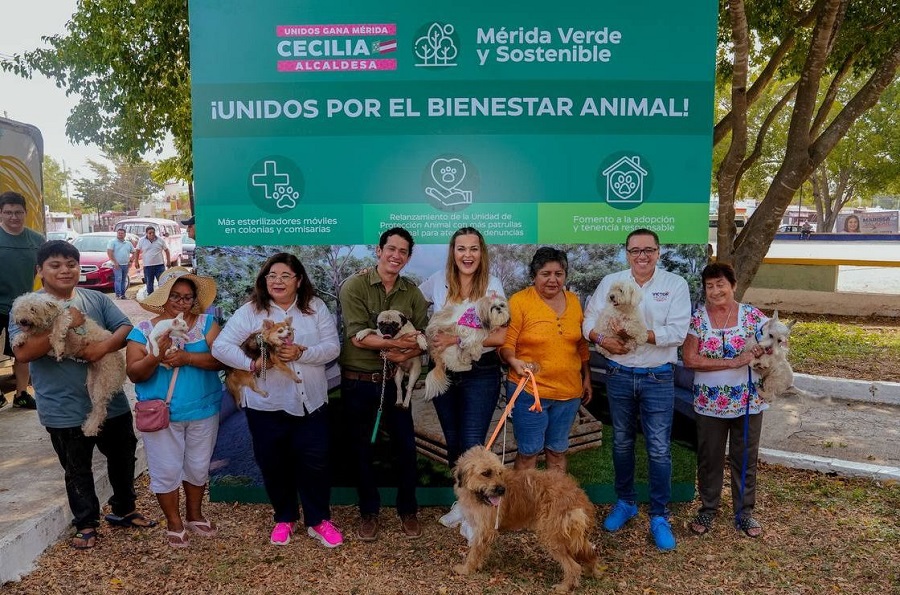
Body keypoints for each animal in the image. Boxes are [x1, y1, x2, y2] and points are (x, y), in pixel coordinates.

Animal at [9, 294, 126, 438]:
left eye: (33, 309)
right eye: (20, 309)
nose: (23, 321)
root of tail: (121, 362)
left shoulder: (65, 317)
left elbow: (57, 330)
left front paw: (58, 348)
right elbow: (30, 336)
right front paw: (19, 339)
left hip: (103, 382)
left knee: (101, 410)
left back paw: (90, 428)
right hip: (92, 383)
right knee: (97, 407)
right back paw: (88, 425)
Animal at [450, 448, 604, 592]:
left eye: (499, 473)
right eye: (486, 473)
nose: (502, 490)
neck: (476, 495)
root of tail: (578, 497)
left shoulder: (485, 530)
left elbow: (475, 552)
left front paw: (466, 569)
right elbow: (480, 550)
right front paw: (477, 565)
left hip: (552, 537)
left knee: (574, 567)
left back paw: (564, 587)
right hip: (572, 537)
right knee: (590, 553)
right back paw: (591, 572)